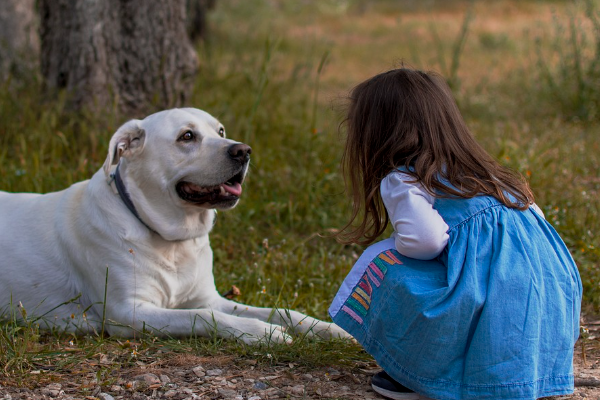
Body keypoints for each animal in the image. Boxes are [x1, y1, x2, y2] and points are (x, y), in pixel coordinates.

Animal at [0, 108, 350, 344]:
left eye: (220, 130)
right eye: (187, 136)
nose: (244, 150)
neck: (173, 240)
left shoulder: (211, 298)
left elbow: (282, 311)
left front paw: (329, 328)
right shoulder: (128, 313)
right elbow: (203, 316)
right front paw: (262, 332)